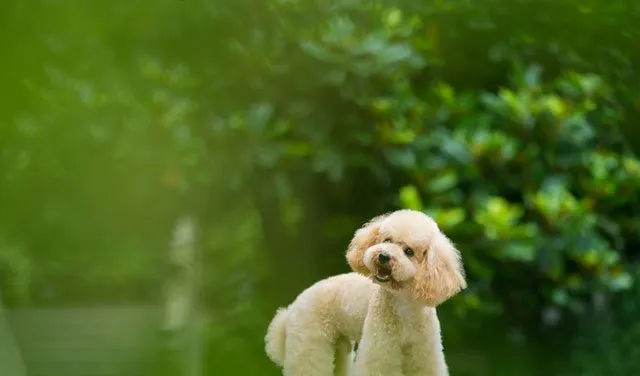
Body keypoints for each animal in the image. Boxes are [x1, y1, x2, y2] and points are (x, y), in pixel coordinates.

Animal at [264, 210, 464, 374]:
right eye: (387, 240)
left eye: (409, 251)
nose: (383, 256)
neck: (404, 305)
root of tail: (292, 308)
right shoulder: (380, 353)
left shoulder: (424, 355)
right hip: (309, 344)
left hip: (339, 348)